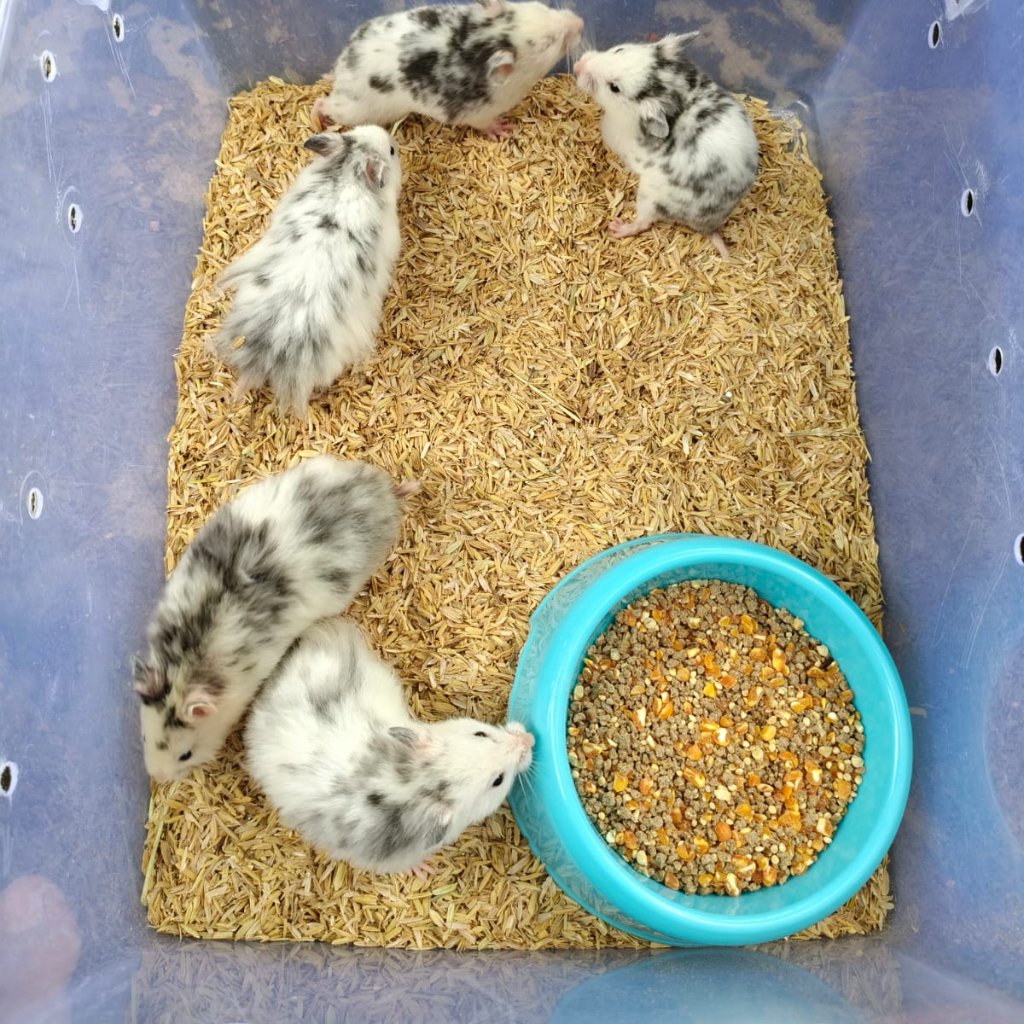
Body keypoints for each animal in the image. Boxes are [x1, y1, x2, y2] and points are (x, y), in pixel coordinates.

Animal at [313, 1, 584, 140]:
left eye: (542, 7)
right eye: (550, 43)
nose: (580, 22)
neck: (479, 42)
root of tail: (344, 69)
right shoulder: (479, 113)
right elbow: (486, 124)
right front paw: (503, 130)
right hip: (355, 110)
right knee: (323, 103)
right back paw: (319, 117)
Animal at [574, 33, 759, 256]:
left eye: (614, 88)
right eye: (620, 49)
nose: (576, 66)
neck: (676, 96)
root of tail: (710, 225)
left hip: (649, 197)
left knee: (643, 223)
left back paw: (617, 228)